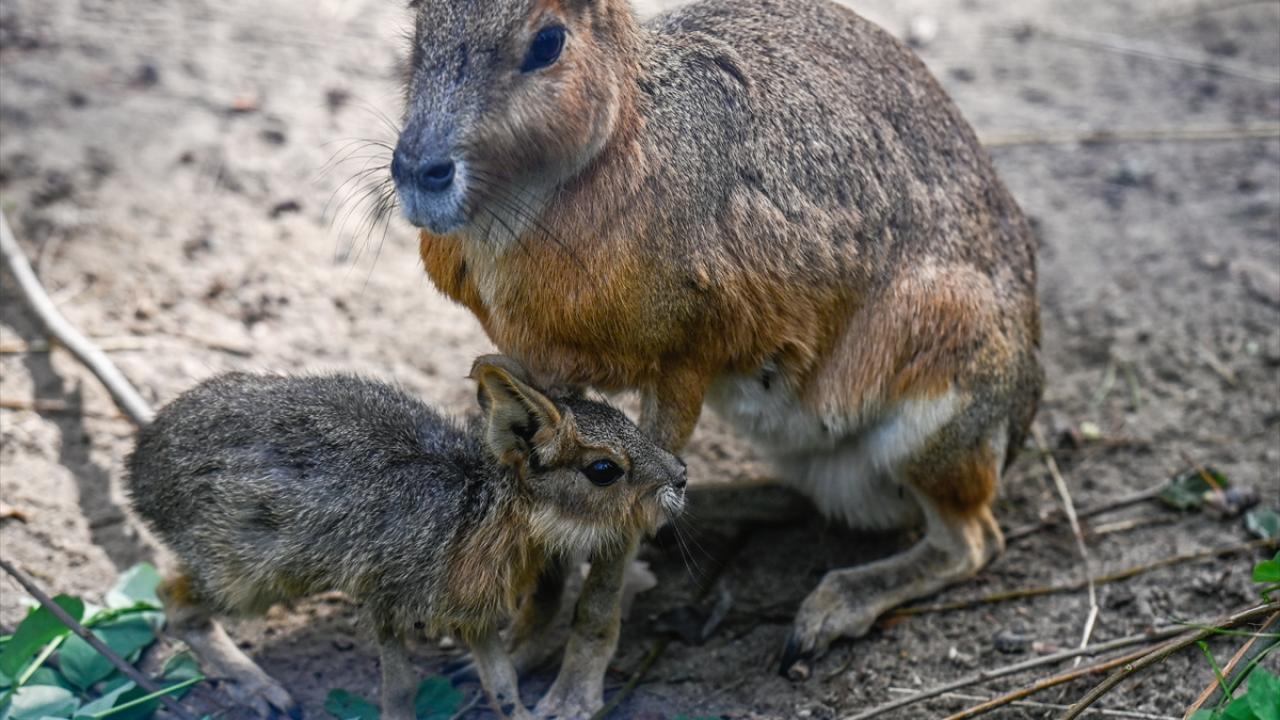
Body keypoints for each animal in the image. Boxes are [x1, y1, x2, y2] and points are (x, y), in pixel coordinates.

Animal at [122, 356, 687, 720]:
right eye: (603, 469)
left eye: (631, 422)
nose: (681, 476)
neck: (483, 510)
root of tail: (139, 468)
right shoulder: (387, 601)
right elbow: (400, 690)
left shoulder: (475, 616)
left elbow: (503, 686)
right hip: (249, 578)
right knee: (174, 601)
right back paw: (264, 691)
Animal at [390, 0, 1043, 709]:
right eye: (419, 25)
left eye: (548, 42)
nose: (418, 171)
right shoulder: (538, 366)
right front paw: (515, 653)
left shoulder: (684, 367)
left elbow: (615, 543)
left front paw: (571, 696)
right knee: (794, 498)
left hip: (932, 416)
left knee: (971, 542)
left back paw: (826, 609)